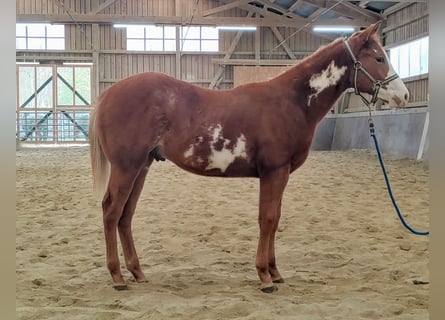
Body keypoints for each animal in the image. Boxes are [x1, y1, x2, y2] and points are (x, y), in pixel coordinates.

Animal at [88, 21, 408, 292]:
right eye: (379, 58)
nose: (403, 96)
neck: (290, 102)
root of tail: (108, 95)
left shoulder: (280, 174)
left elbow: (275, 218)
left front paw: (275, 272)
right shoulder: (273, 171)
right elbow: (267, 218)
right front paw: (265, 276)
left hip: (141, 167)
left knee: (126, 215)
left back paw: (137, 272)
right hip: (126, 167)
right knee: (111, 211)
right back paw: (117, 277)